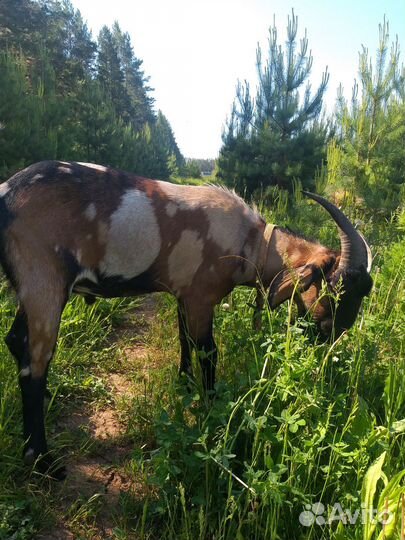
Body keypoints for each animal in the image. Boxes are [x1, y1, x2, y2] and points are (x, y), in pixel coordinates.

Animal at [0, 159, 372, 476]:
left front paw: (185, 383)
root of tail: (6, 194)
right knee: (36, 360)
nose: (333, 335)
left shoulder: (183, 295)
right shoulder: (201, 298)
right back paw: (43, 460)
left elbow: (185, 340)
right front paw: (210, 406)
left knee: (16, 340)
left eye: (362, 293)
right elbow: (208, 351)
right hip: (44, 279)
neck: (251, 243)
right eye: (335, 288)